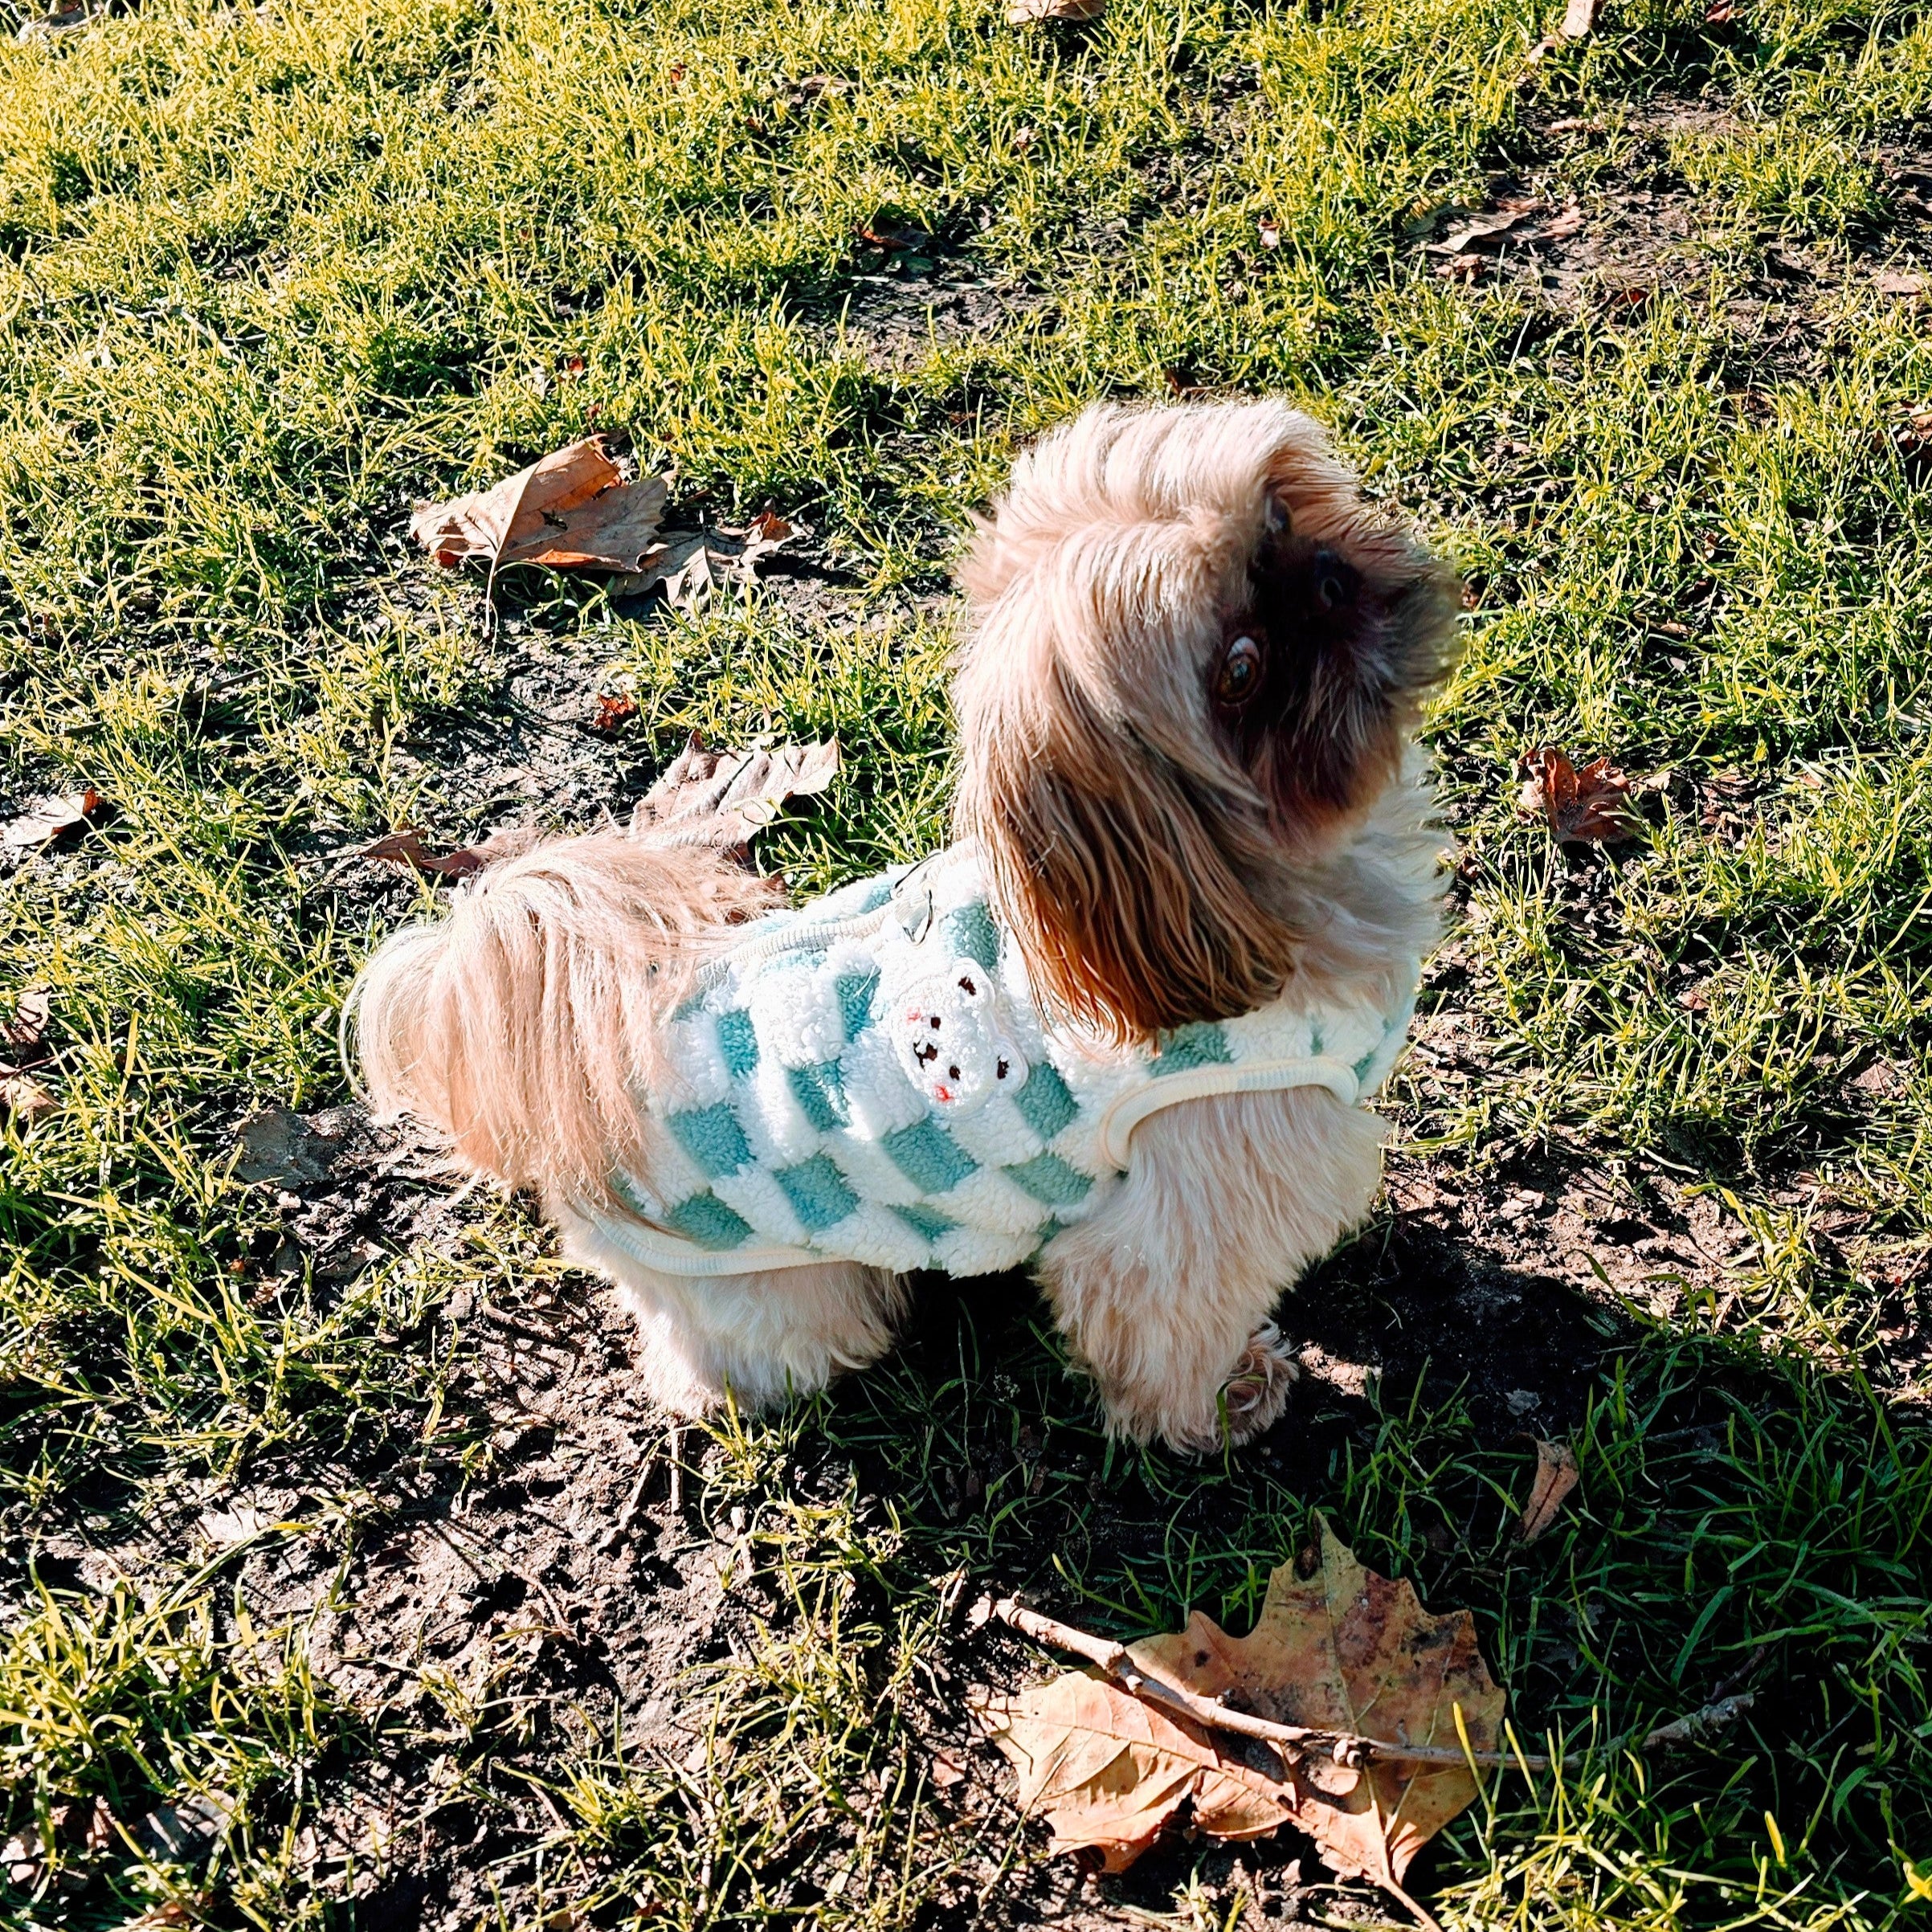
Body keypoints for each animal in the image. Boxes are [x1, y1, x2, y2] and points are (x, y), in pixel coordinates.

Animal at [355, 396, 1452, 1452]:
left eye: (1280, 514)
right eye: (1237, 669)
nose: (1324, 580)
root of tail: (576, 1079)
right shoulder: (1175, 1219)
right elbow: (1165, 1334)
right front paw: (1222, 1404)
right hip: (772, 1284)